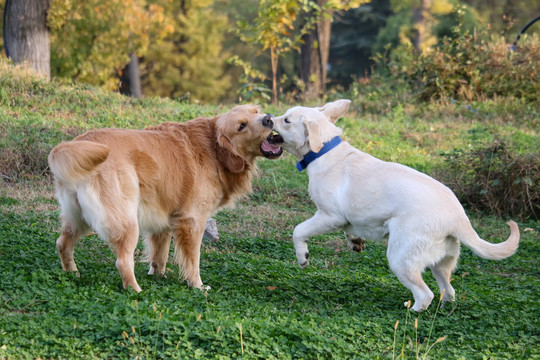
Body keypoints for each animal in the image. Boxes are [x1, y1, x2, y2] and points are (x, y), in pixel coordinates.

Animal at [48, 105, 282, 292]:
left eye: (256, 111)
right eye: (241, 126)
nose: (268, 118)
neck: (214, 150)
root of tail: (78, 143)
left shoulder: (164, 218)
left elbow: (159, 254)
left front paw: (159, 275)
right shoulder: (193, 221)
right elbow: (193, 260)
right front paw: (197, 285)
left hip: (79, 217)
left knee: (62, 243)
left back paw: (72, 273)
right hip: (125, 220)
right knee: (122, 261)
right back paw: (136, 290)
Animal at [272, 100, 520, 310]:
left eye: (286, 120)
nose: (268, 118)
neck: (323, 151)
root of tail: (459, 218)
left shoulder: (329, 215)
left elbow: (298, 231)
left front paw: (302, 257)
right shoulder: (348, 218)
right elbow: (350, 230)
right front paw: (355, 242)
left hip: (400, 259)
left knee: (426, 294)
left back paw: (412, 311)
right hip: (441, 264)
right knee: (448, 292)